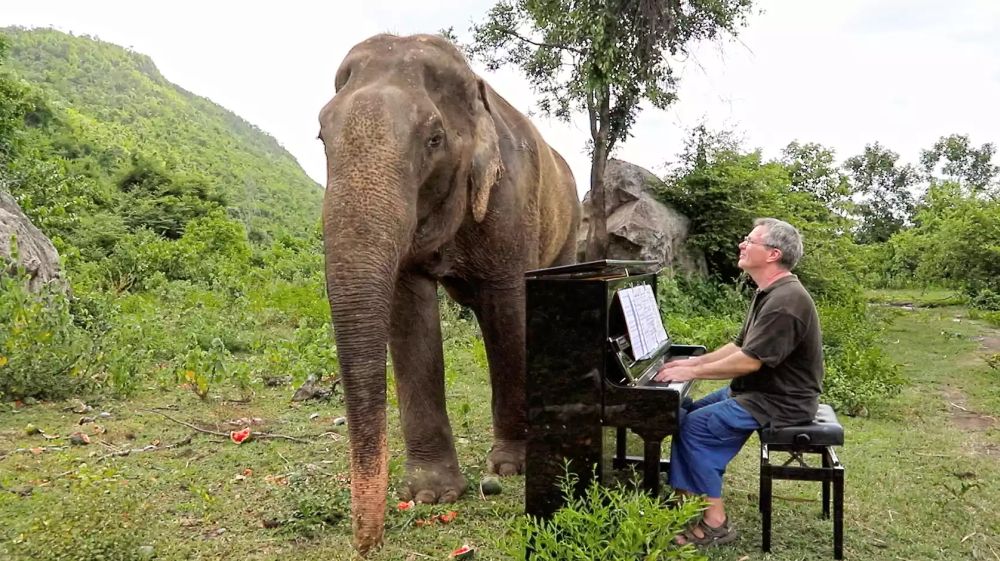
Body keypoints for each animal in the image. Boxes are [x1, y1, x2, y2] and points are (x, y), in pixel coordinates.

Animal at [316, 32, 584, 552]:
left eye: (434, 139)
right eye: (321, 136)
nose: (366, 544)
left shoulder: (511, 199)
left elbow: (507, 311)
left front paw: (511, 465)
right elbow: (409, 315)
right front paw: (431, 495)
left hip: (570, 225)